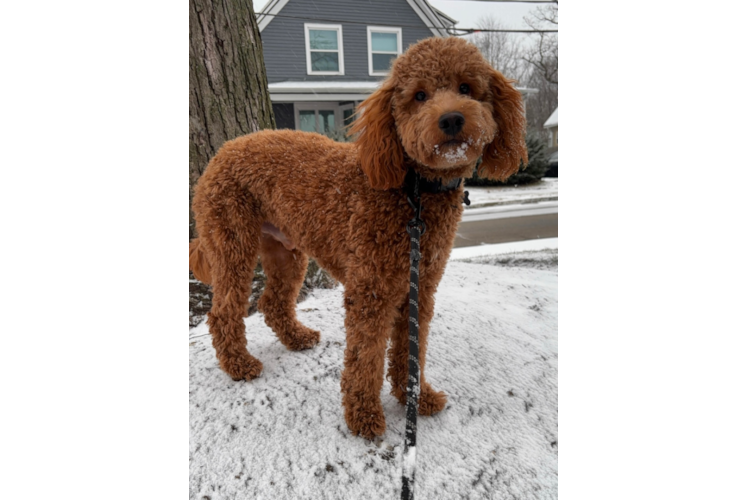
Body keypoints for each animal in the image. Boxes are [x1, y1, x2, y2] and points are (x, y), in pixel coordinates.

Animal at [188, 36, 524, 438]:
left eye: (466, 88)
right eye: (419, 95)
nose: (452, 119)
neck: (413, 190)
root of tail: (221, 154)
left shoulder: (419, 288)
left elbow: (410, 350)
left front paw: (415, 397)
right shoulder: (371, 291)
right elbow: (366, 357)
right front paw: (364, 416)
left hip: (287, 252)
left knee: (272, 301)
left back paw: (296, 338)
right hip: (232, 241)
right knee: (222, 311)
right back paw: (239, 364)